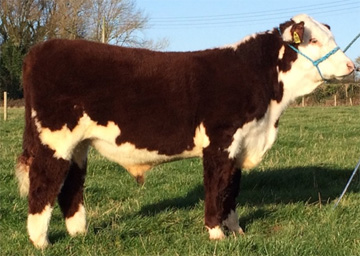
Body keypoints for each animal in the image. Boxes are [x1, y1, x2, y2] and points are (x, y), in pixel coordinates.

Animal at [15, 14, 352, 248]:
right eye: (313, 41)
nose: (351, 66)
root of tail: (41, 48)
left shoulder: (241, 143)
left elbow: (232, 188)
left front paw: (237, 232)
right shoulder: (220, 141)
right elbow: (217, 187)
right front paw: (216, 234)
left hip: (78, 145)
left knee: (71, 185)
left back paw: (80, 234)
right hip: (55, 138)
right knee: (43, 184)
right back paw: (40, 241)